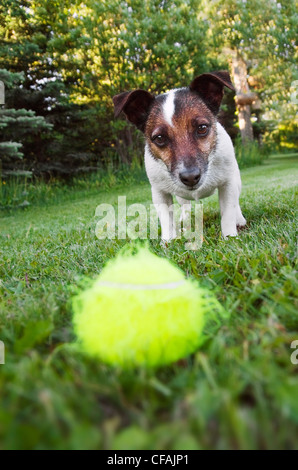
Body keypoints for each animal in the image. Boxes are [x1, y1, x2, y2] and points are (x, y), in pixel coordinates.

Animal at [113, 71, 246, 241]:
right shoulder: (159, 192)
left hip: (237, 180)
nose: (190, 177)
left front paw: (230, 235)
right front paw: (168, 240)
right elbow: (166, 218)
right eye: (159, 138)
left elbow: (228, 212)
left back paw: (239, 219)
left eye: (202, 128)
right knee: (185, 205)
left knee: (236, 202)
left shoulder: (228, 184)